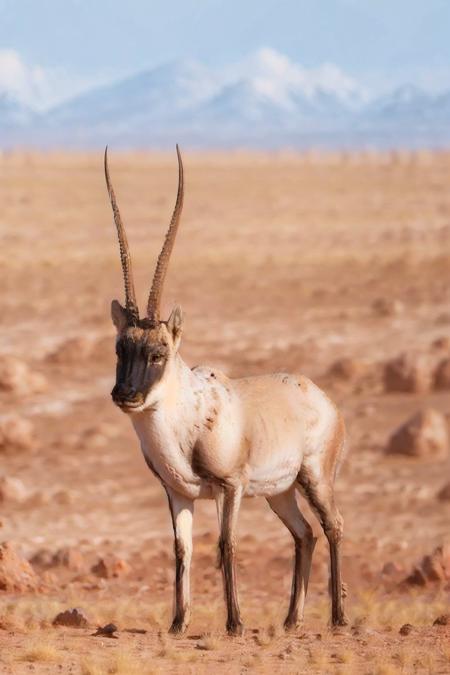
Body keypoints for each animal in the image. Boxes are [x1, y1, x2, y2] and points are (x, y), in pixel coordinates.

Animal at [105, 145, 348, 636]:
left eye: (158, 351)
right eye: (121, 347)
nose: (126, 395)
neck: (186, 414)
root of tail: (321, 397)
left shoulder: (231, 486)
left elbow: (226, 545)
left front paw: (234, 623)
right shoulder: (178, 492)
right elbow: (182, 550)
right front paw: (178, 624)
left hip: (314, 476)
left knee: (332, 526)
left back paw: (337, 618)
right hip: (280, 492)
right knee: (304, 533)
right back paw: (291, 620)